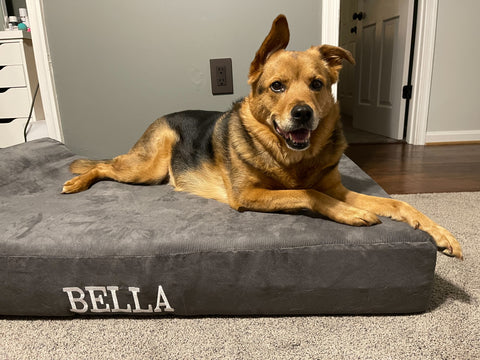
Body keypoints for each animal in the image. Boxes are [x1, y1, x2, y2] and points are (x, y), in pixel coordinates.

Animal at [62, 14, 462, 258]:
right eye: (277, 86)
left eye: (317, 84)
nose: (302, 113)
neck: (294, 160)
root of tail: (161, 117)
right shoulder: (250, 195)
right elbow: (309, 194)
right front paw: (351, 214)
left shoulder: (336, 187)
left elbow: (400, 205)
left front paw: (441, 234)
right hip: (145, 169)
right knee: (103, 166)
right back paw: (76, 182)